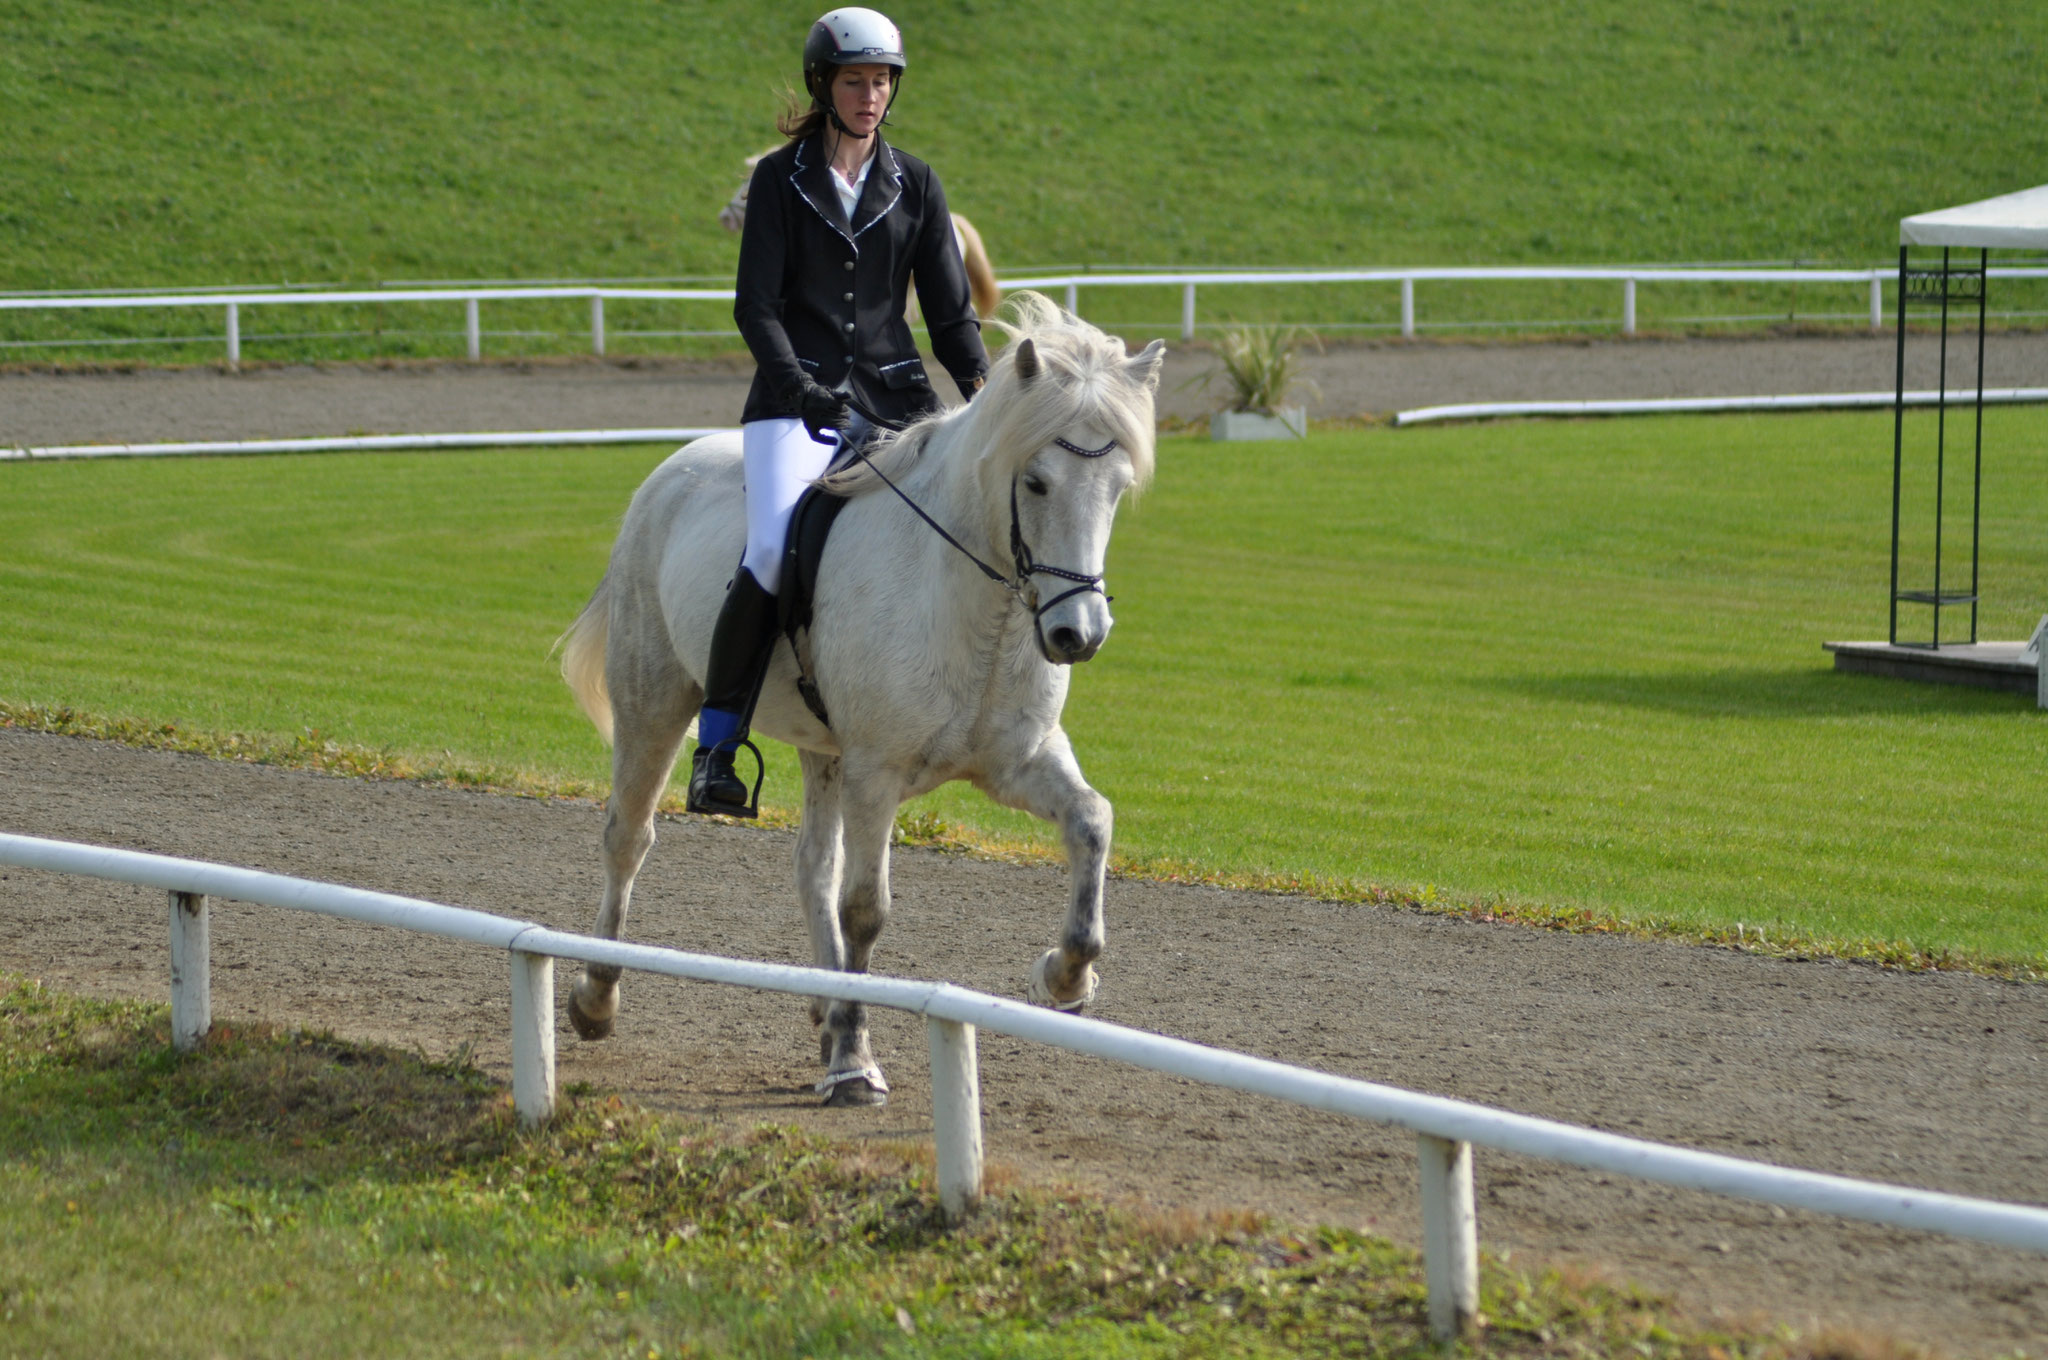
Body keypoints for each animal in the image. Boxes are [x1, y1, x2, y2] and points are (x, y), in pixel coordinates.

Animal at [561, 294, 1171, 1106]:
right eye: (1037, 482)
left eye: (1118, 488)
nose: (1079, 634)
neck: (979, 612)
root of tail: (670, 471)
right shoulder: (876, 775)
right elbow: (867, 909)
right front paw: (854, 1058)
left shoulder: (1018, 760)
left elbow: (1092, 822)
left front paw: (1065, 977)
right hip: (655, 704)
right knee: (628, 839)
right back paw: (597, 998)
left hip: (825, 751)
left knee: (812, 865)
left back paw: (823, 1009)